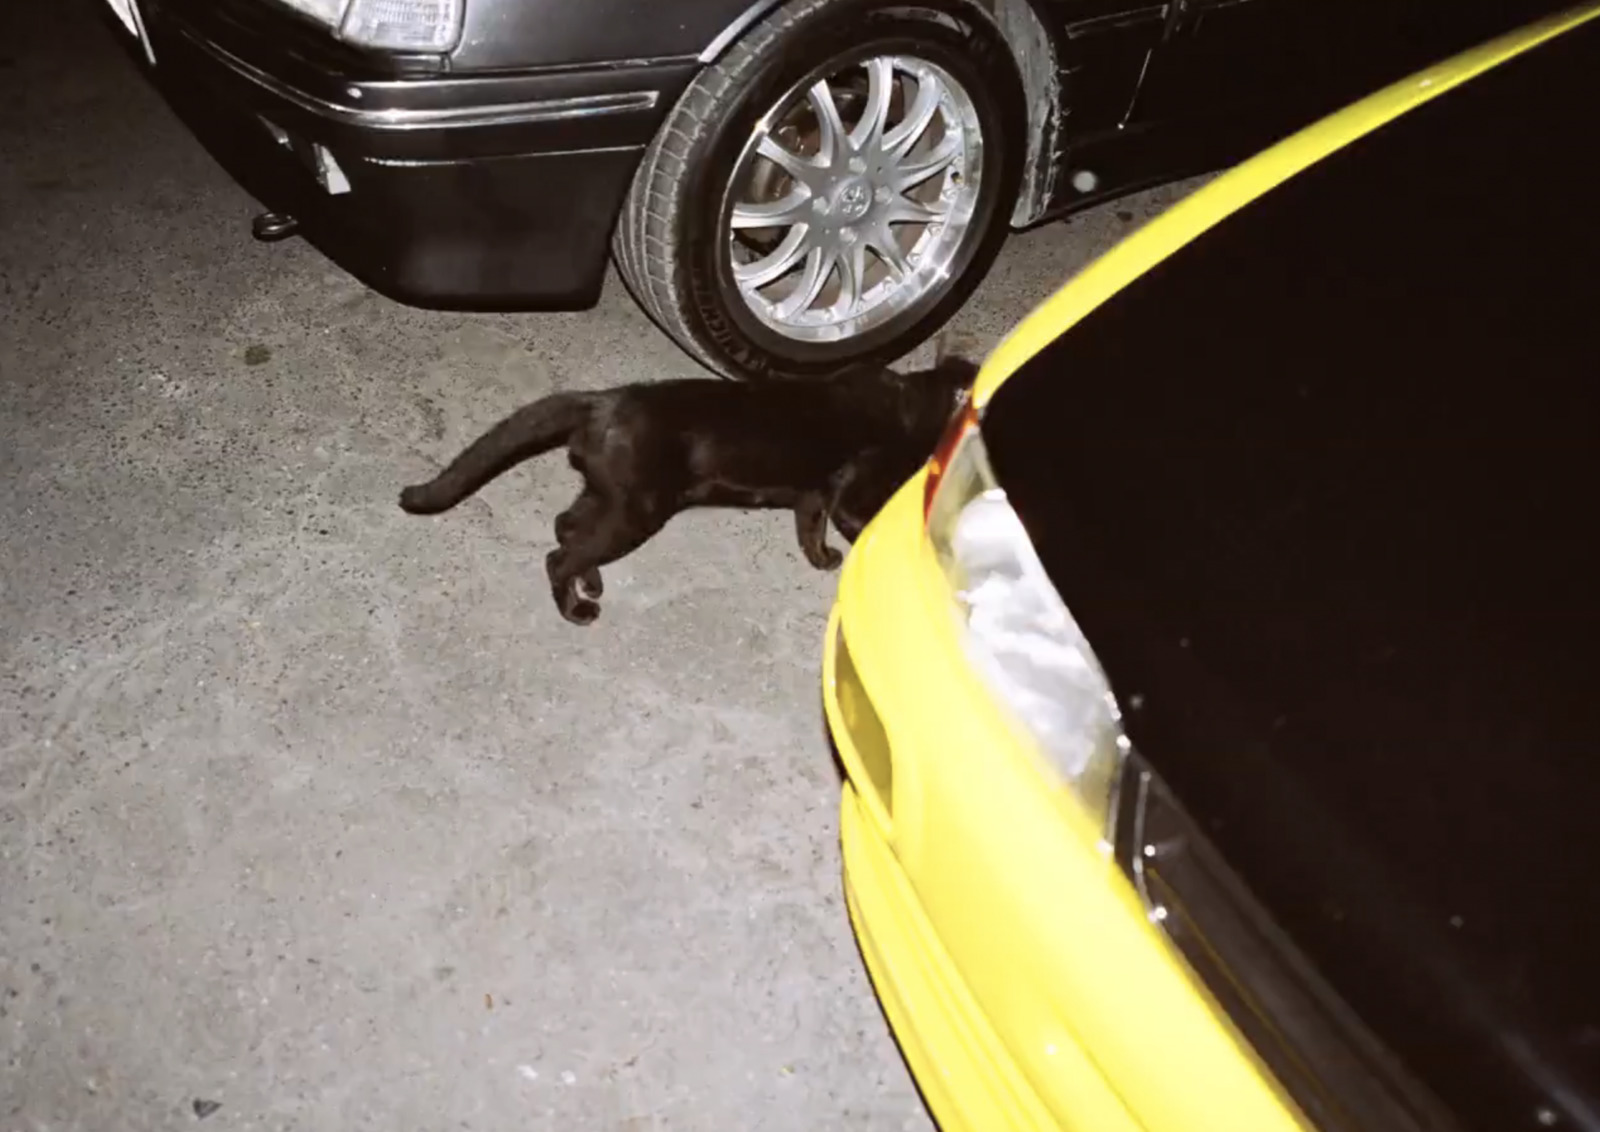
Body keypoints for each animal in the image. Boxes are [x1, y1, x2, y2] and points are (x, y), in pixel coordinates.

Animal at [398, 346, 972, 623]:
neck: (913, 402)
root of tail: (603, 400)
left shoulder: (813, 493)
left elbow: (809, 530)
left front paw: (822, 559)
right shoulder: (851, 492)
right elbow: (854, 520)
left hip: (614, 497)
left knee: (566, 526)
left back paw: (592, 581)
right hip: (637, 508)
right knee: (558, 554)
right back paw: (578, 608)